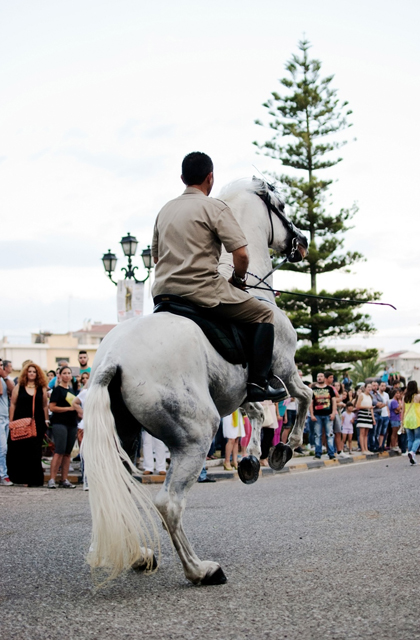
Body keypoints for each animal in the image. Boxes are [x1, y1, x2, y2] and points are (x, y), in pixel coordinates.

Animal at [83, 179, 312, 584]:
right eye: (282, 205)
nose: (301, 242)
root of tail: (114, 359)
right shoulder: (284, 367)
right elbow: (303, 396)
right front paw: (285, 448)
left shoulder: (236, 390)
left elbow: (256, 412)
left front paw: (251, 461)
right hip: (197, 434)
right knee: (169, 504)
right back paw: (201, 570)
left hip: (123, 436)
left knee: (116, 487)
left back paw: (139, 555)